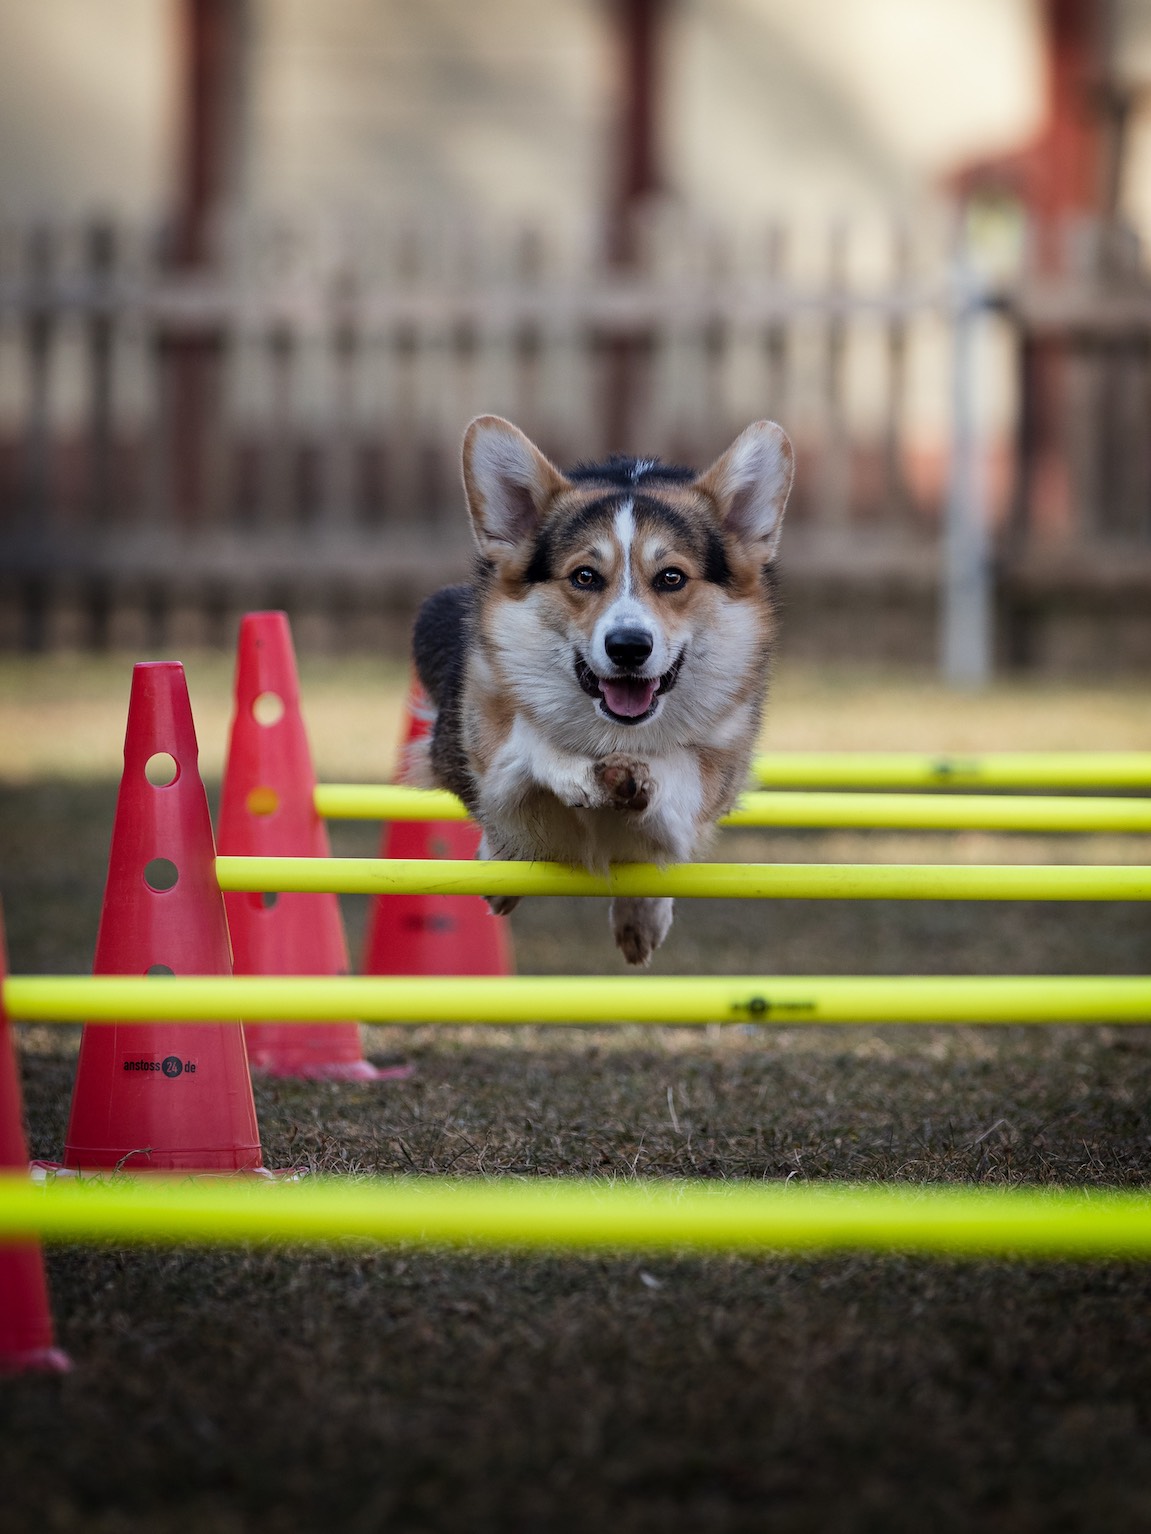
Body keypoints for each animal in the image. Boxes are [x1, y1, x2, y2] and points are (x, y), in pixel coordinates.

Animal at [411, 414, 798, 963]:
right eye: (585, 576)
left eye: (672, 577)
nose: (628, 647)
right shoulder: (495, 754)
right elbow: (533, 741)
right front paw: (582, 775)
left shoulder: (709, 776)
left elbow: (674, 776)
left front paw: (634, 783)